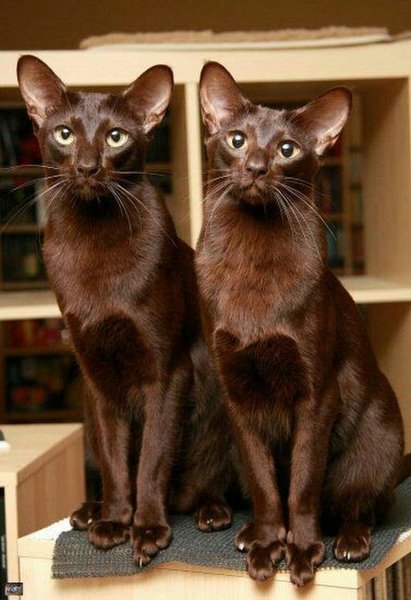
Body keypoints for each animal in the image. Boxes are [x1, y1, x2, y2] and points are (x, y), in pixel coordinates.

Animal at [17, 55, 233, 567]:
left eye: (115, 136)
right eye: (64, 134)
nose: (88, 166)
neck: (94, 242)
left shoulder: (167, 370)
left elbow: (151, 456)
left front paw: (148, 529)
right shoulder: (97, 374)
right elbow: (118, 461)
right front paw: (115, 520)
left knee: (209, 479)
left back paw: (210, 511)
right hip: (86, 409)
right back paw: (87, 512)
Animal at [196, 61, 405, 586]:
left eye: (287, 149)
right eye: (237, 139)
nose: (255, 168)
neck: (251, 262)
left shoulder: (317, 392)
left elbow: (303, 483)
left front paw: (303, 552)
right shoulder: (237, 394)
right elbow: (268, 486)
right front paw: (267, 546)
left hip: (376, 438)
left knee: (362, 505)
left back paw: (349, 541)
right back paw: (249, 531)